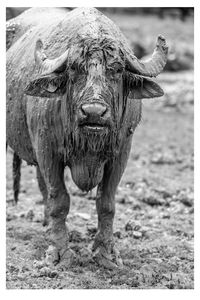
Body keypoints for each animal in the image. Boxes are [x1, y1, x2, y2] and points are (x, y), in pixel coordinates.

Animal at [6, 7, 167, 270]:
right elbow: (60, 200)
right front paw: (59, 252)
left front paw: (106, 253)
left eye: (117, 70)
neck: (88, 140)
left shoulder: (120, 153)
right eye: (74, 68)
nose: (93, 112)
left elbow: (106, 202)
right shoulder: (47, 149)